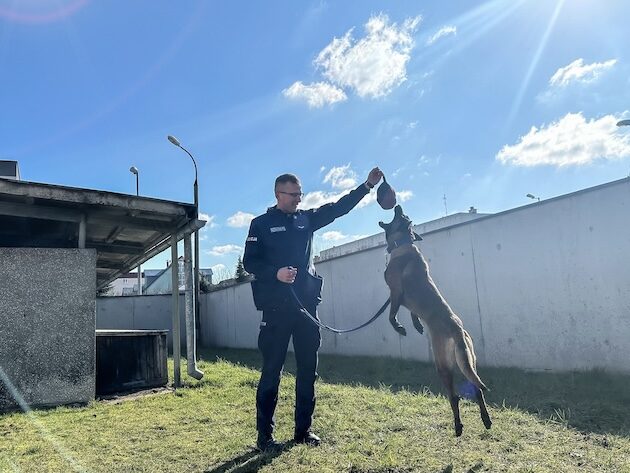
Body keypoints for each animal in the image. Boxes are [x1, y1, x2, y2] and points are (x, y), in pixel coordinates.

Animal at [380, 205, 494, 434]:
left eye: (401, 216)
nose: (398, 205)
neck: (403, 244)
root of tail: (457, 329)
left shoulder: (395, 293)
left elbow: (391, 314)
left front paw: (399, 327)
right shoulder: (408, 302)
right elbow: (413, 313)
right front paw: (416, 325)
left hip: (443, 365)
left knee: (455, 396)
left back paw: (458, 426)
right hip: (468, 361)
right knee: (476, 390)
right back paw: (485, 420)